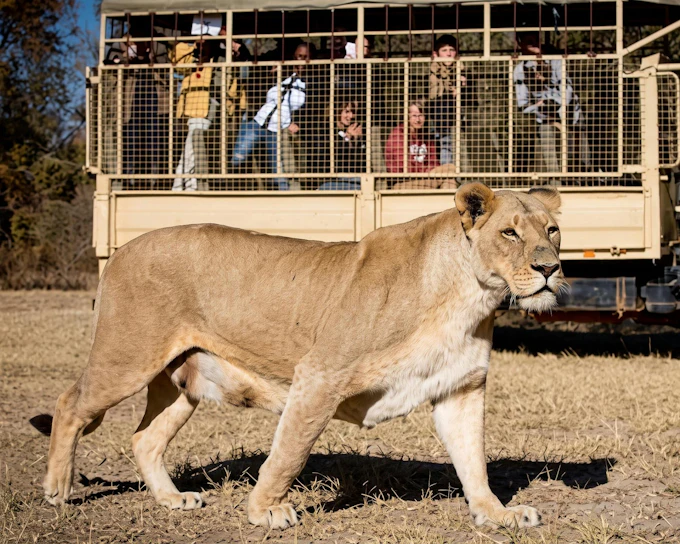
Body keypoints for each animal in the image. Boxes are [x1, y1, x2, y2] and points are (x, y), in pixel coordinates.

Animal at [30, 182, 565, 530]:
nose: (550, 268)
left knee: (144, 438)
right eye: (510, 233)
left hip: (180, 384)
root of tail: (121, 250)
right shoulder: (320, 374)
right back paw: (58, 489)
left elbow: (473, 461)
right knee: (68, 404)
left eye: (553, 230)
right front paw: (265, 511)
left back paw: (172, 500)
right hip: (126, 358)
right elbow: (289, 452)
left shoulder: (461, 388)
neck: (469, 295)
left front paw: (497, 514)